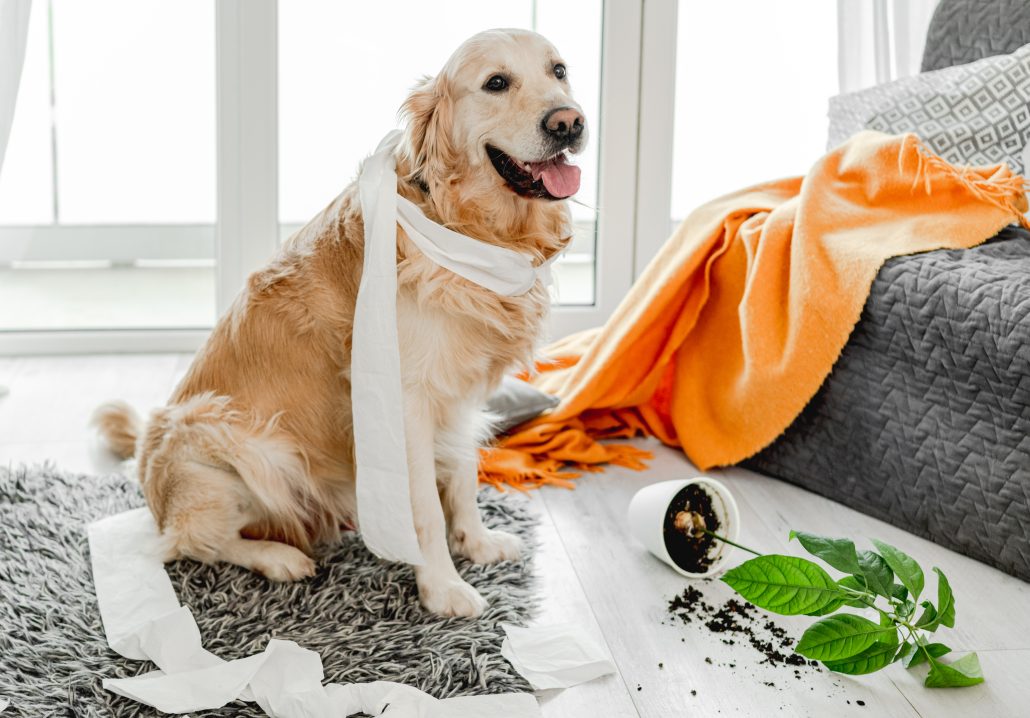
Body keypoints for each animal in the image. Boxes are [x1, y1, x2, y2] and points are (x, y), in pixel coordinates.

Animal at [96, 29, 589, 618]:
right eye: (496, 82)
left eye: (559, 71)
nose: (569, 122)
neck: (464, 228)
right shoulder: (404, 400)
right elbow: (424, 507)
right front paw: (441, 587)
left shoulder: (458, 394)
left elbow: (465, 472)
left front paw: (476, 541)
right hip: (238, 446)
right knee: (190, 541)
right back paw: (278, 557)